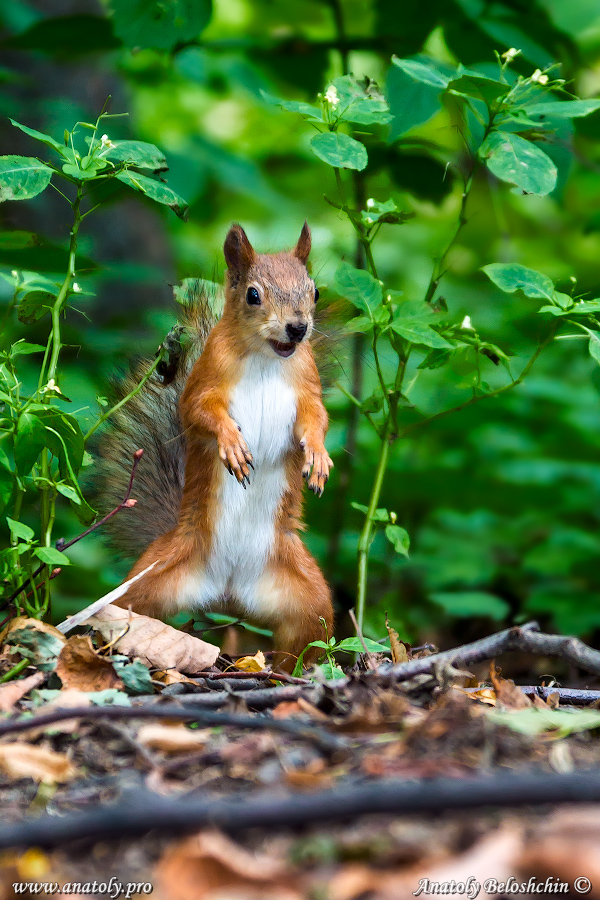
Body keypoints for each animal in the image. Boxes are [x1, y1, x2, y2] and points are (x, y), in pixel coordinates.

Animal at [97, 222, 334, 671]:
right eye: (253, 295)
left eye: (314, 292)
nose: (298, 328)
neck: (266, 358)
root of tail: (228, 589)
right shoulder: (206, 379)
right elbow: (198, 412)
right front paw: (232, 444)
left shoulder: (307, 388)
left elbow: (316, 420)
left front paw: (318, 456)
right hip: (151, 578)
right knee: (126, 610)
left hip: (307, 599)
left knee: (308, 638)